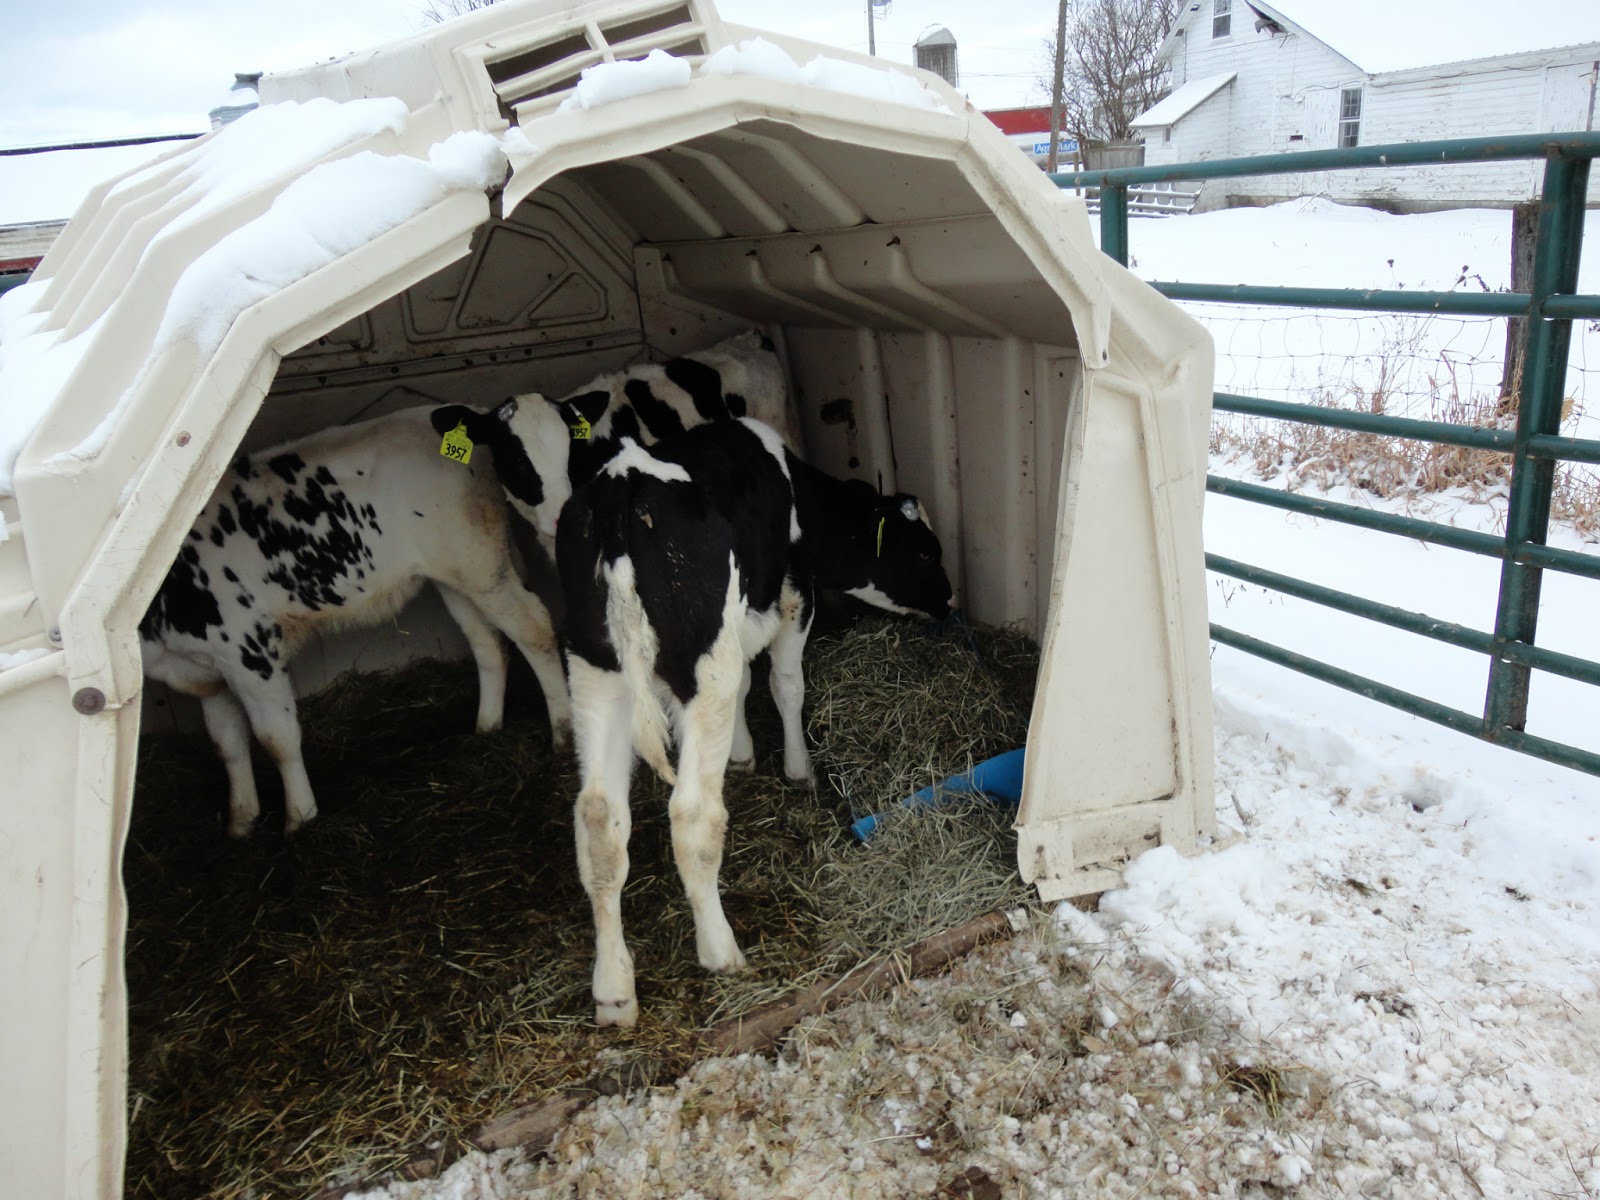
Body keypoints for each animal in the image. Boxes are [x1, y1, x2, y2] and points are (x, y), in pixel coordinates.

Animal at [140, 408, 571, 837]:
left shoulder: (252, 652)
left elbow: (276, 738)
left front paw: (300, 818)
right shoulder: (206, 671)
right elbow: (227, 744)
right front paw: (241, 822)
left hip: (481, 565)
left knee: (534, 626)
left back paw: (563, 734)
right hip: (453, 576)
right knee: (486, 642)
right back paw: (486, 726)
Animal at [556, 417, 954, 1026]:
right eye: (927, 552)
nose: (952, 602)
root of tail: (623, 485)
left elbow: (748, 682)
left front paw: (743, 754)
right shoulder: (793, 595)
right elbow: (784, 685)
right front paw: (799, 769)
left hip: (594, 671)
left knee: (599, 820)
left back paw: (615, 991)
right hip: (701, 664)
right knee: (693, 813)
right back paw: (721, 952)